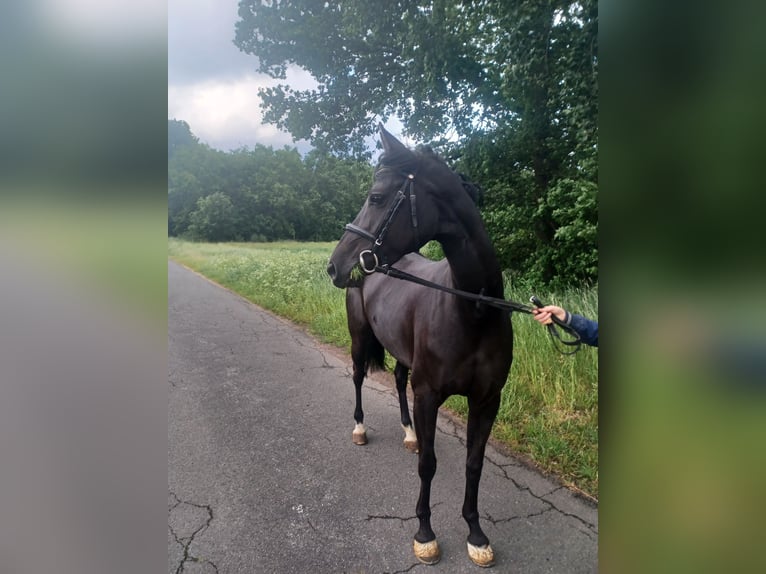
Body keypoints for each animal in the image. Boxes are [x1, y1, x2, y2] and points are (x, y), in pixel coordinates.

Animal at [328, 124, 512, 568]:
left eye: (377, 198)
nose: (334, 265)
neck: (473, 311)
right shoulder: (428, 394)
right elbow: (429, 465)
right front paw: (425, 535)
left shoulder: (487, 400)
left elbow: (474, 464)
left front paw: (476, 536)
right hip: (359, 340)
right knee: (358, 378)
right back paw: (360, 429)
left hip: (401, 354)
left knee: (396, 380)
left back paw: (409, 433)